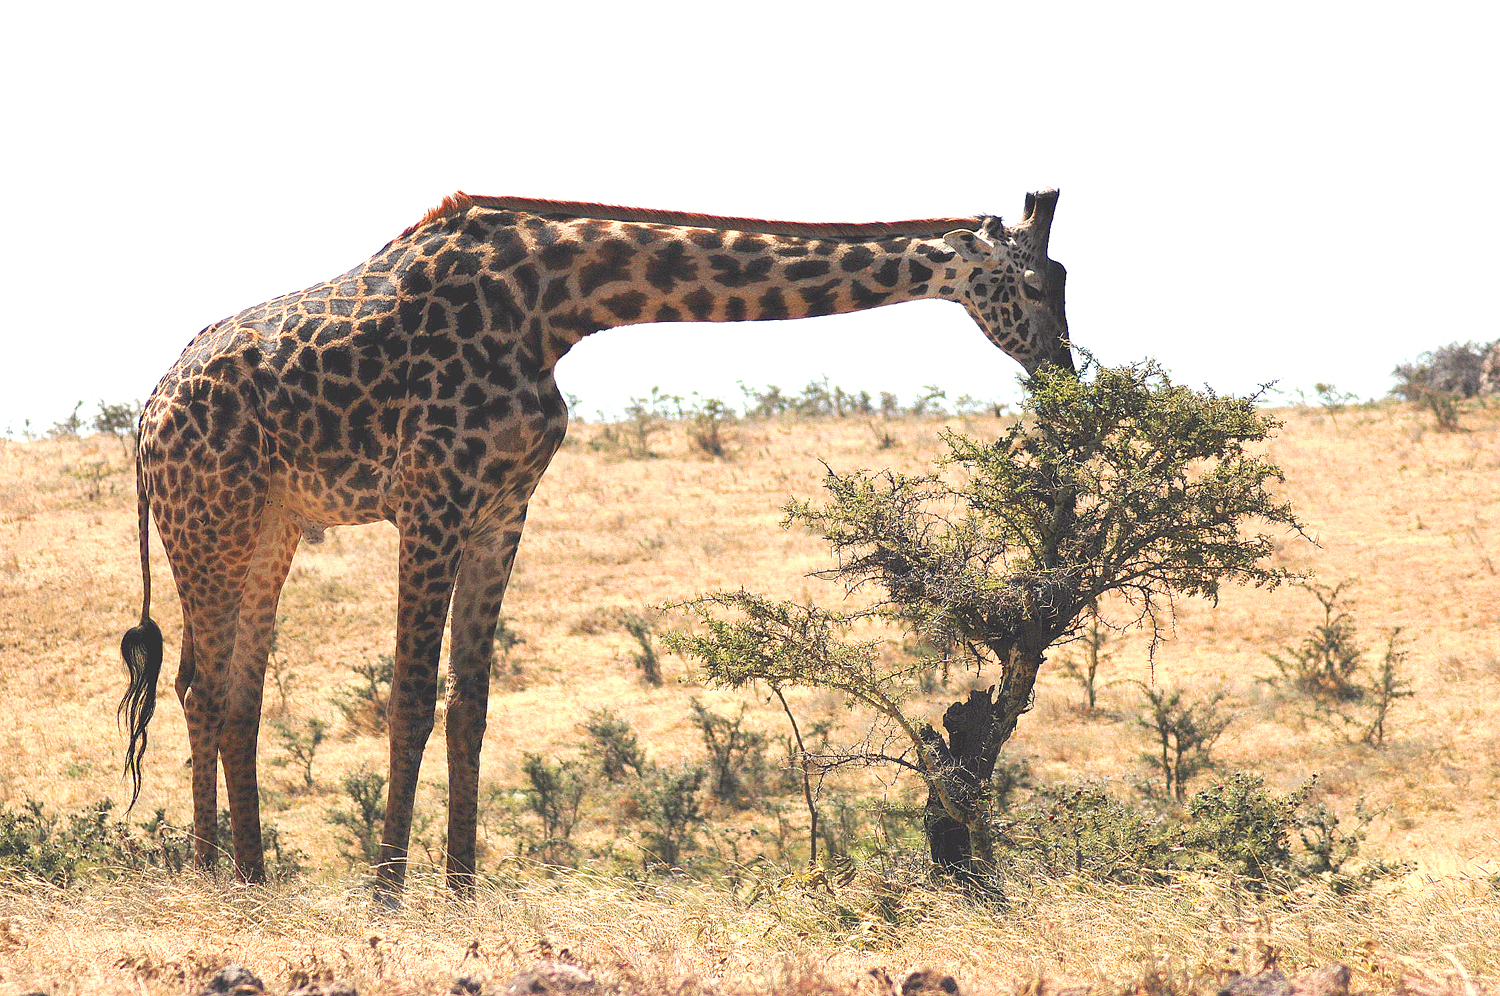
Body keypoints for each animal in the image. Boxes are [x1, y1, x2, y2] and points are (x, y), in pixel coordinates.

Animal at [119, 189, 1072, 900]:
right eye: (1035, 285)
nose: (1063, 372)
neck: (557, 303)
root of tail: (145, 418)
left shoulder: (503, 507)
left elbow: (470, 705)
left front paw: (462, 891)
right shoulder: (431, 499)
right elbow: (411, 698)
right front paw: (387, 893)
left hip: (269, 530)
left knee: (239, 697)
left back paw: (251, 880)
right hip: (209, 523)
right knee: (200, 689)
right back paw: (209, 879)